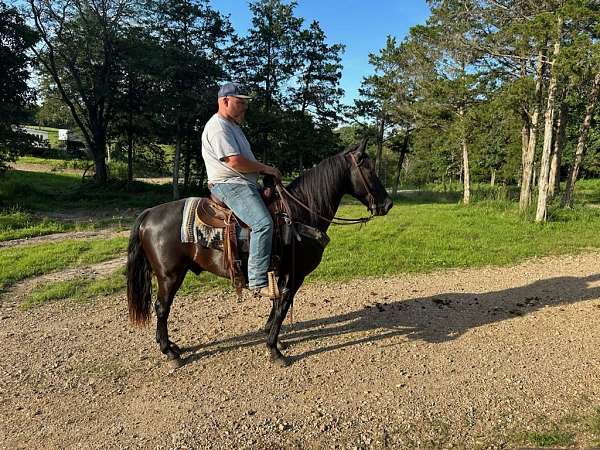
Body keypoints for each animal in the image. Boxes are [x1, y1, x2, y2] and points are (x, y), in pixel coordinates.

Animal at [126, 141, 394, 366]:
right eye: (370, 170)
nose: (388, 204)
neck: (299, 214)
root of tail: (148, 214)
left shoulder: (283, 272)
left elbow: (277, 305)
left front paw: (271, 335)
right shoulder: (295, 274)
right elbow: (283, 305)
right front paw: (273, 349)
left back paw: (172, 346)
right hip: (170, 275)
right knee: (162, 308)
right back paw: (169, 351)